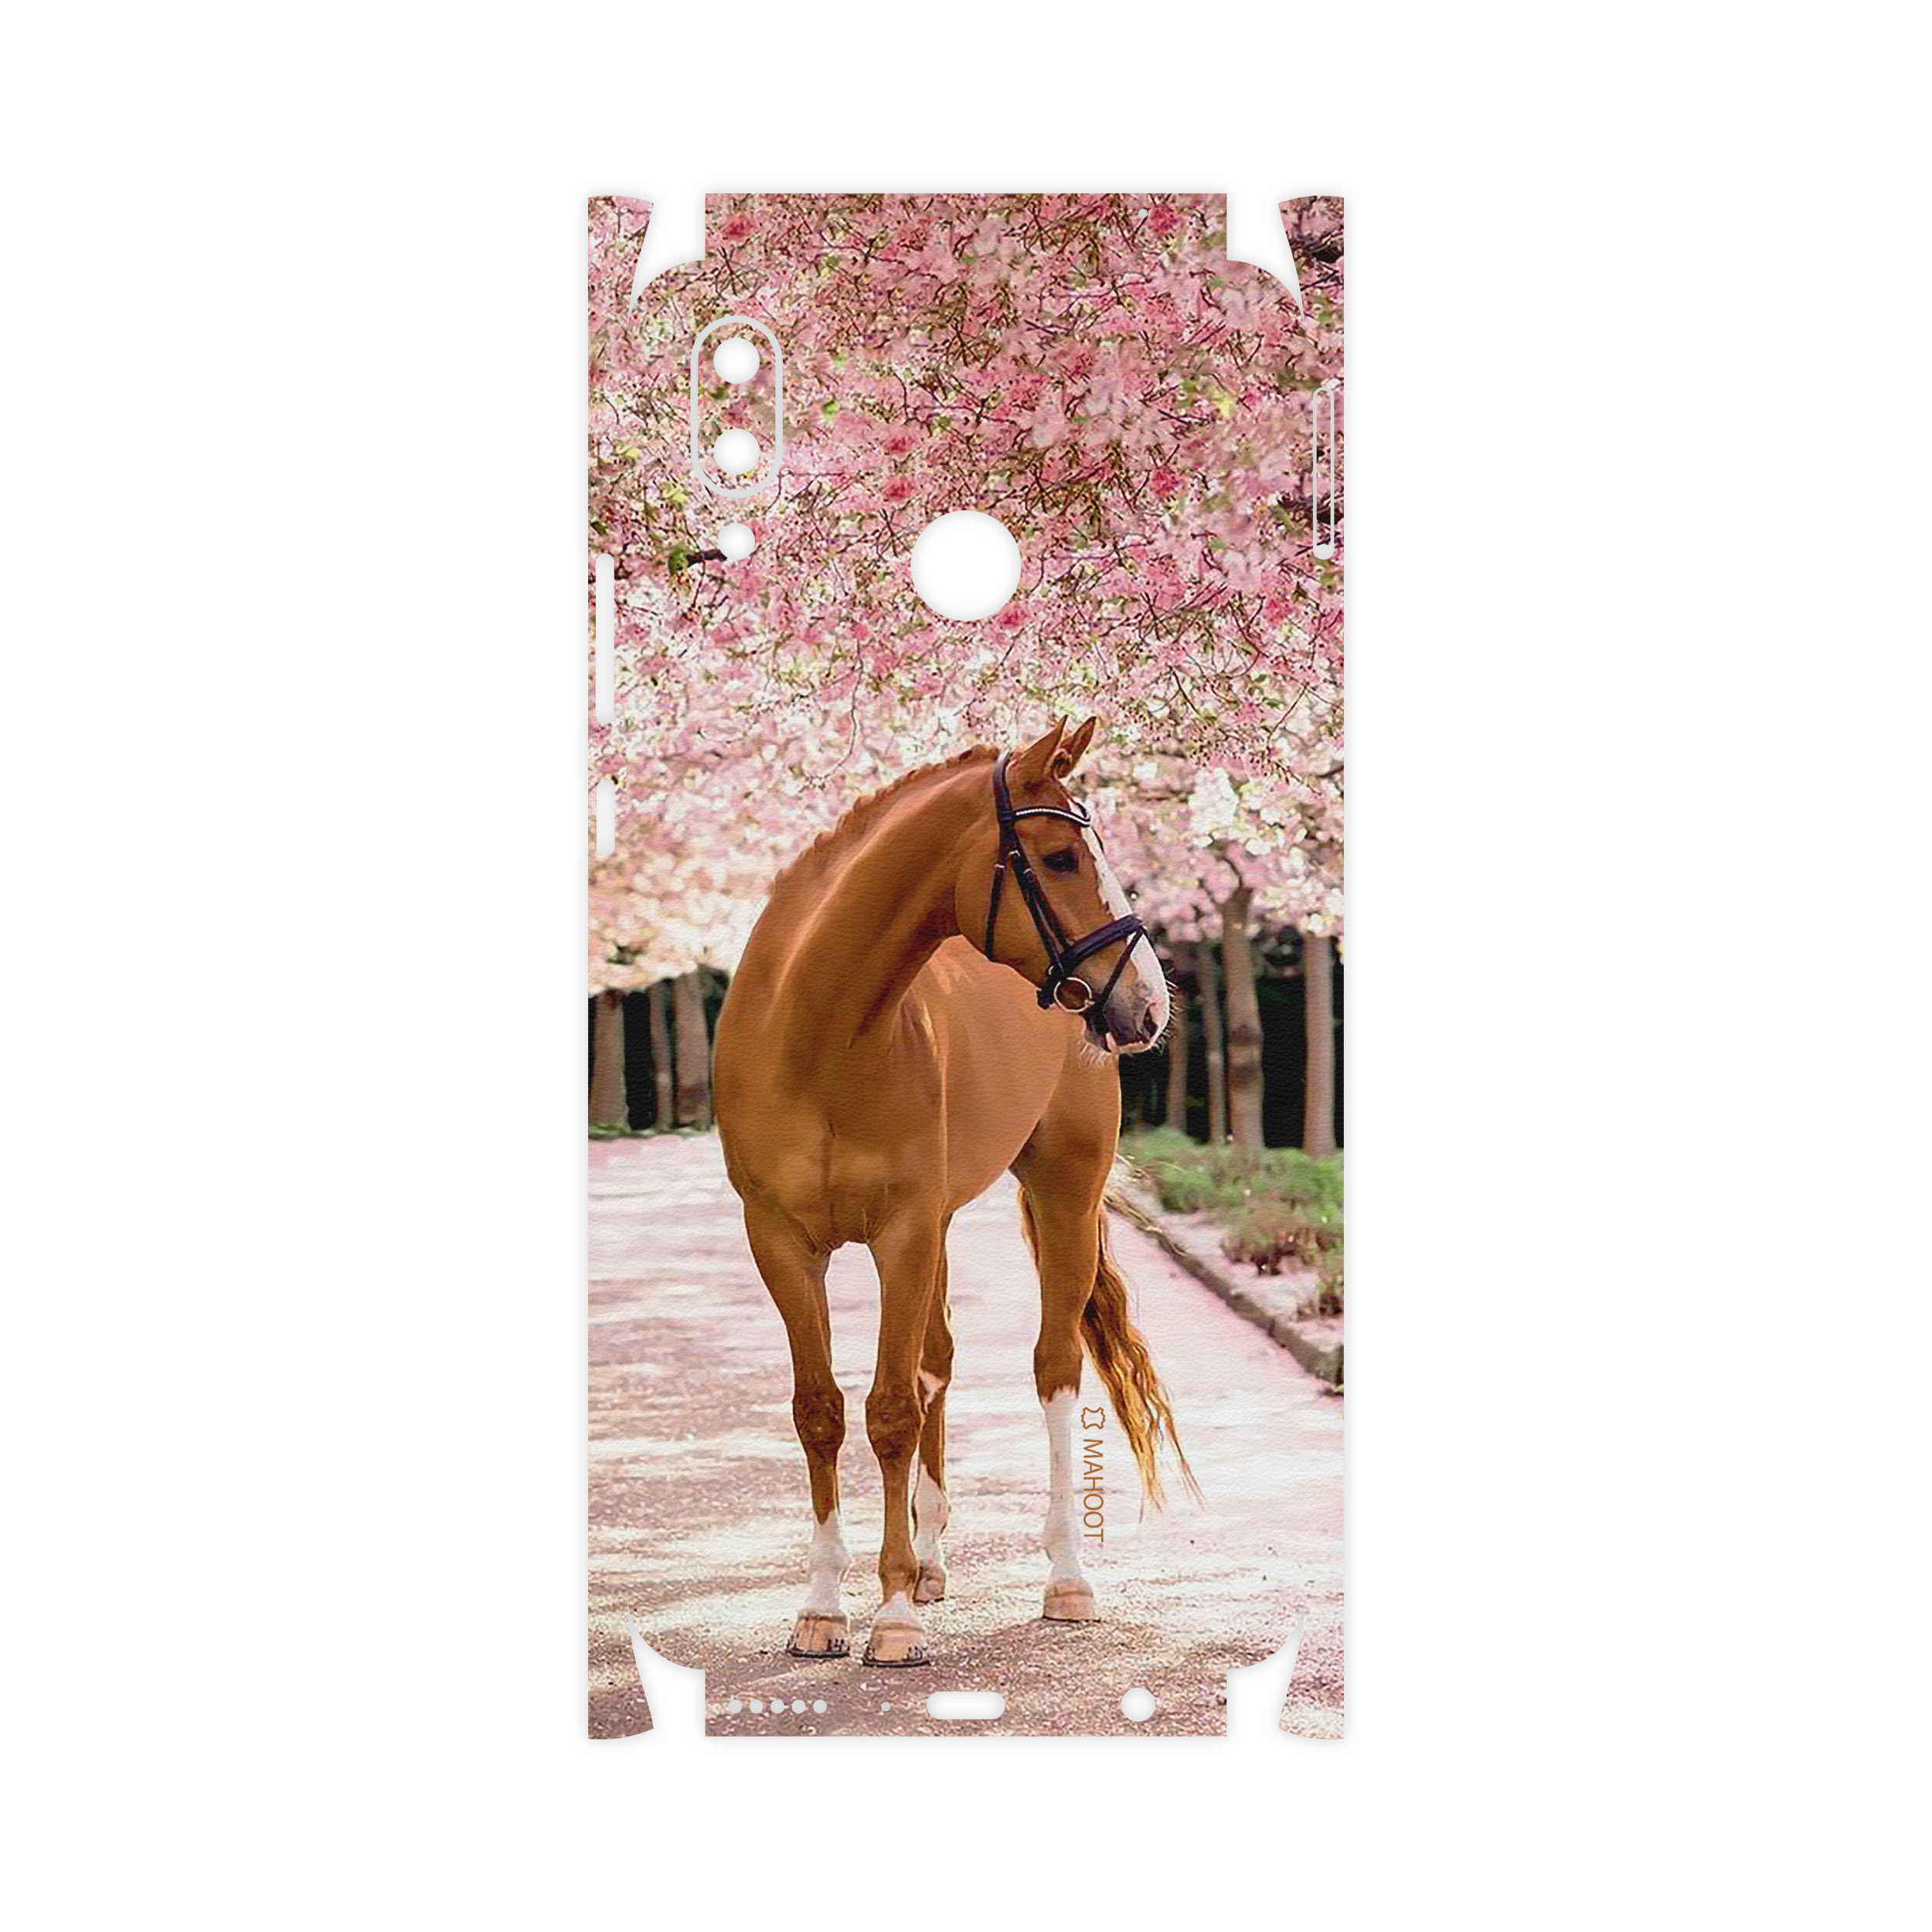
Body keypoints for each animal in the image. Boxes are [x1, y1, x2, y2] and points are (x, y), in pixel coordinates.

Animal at [713, 717, 1194, 1667]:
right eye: (1058, 857)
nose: (1150, 1004)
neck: (817, 1033)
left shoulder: (900, 1232)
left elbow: (892, 1409)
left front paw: (892, 1617)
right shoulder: (782, 1241)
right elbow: (822, 1411)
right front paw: (823, 1608)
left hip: (1062, 1194)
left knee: (1053, 1368)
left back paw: (1064, 1579)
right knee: (937, 1360)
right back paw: (931, 1562)